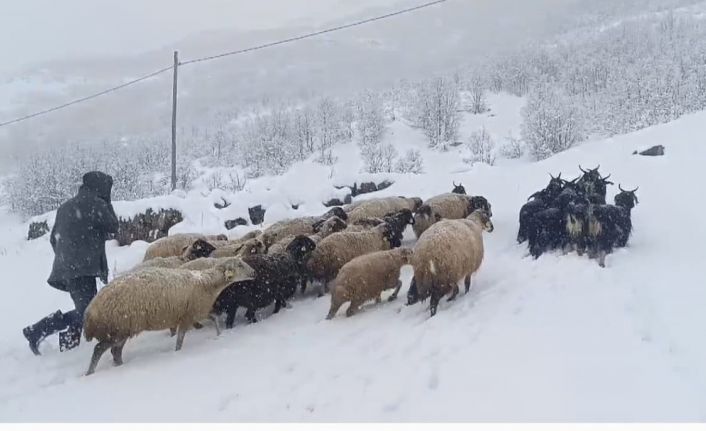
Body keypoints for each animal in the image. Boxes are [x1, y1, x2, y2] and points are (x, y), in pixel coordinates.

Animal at [83, 258, 253, 376]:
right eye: (239, 265)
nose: (254, 273)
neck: (206, 283)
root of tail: (90, 311)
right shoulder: (188, 316)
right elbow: (180, 340)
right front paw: (177, 354)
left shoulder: (197, 312)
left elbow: (214, 318)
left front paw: (219, 335)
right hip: (116, 329)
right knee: (99, 349)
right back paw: (90, 373)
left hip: (123, 329)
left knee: (115, 352)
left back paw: (120, 366)